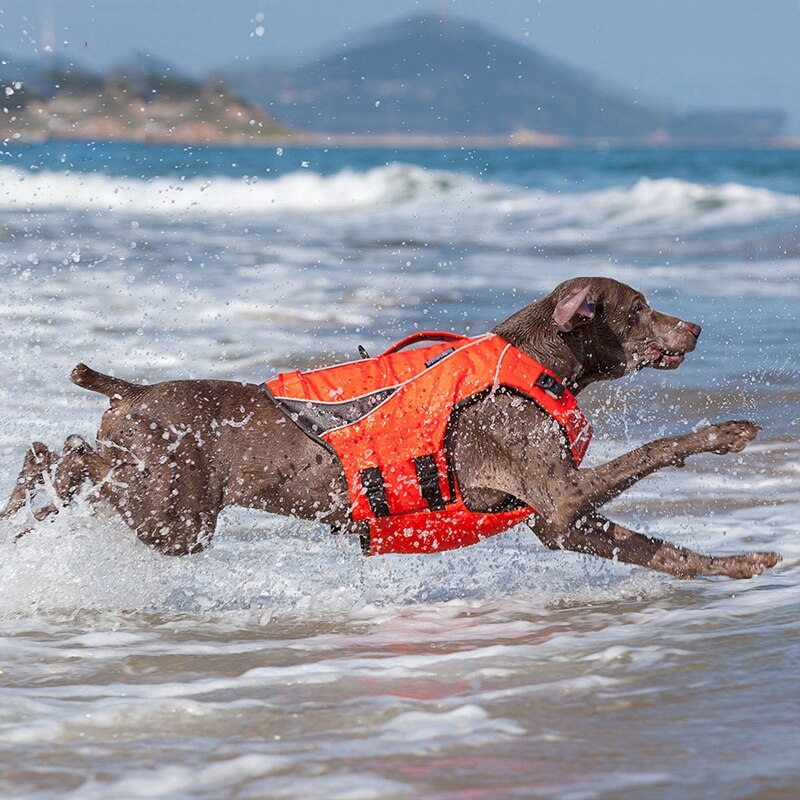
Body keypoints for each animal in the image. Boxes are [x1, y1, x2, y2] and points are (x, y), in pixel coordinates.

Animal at [0, 278, 780, 580]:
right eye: (640, 309)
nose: (695, 327)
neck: (536, 359)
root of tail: (131, 391)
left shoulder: (557, 522)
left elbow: (669, 553)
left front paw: (742, 566)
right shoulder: (559, 498)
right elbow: (661, 446)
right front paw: (728, 432)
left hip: (162, 507)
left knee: (60, 449)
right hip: (172, 514)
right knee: (68, 456)